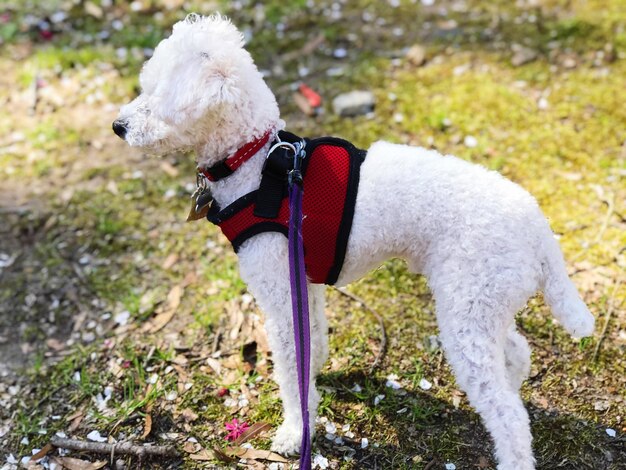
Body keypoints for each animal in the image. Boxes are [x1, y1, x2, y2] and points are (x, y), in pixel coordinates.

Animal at [113, 12, 596, 468]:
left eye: (156, 98)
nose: (118, 126)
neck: (258, 164)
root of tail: (540, 229)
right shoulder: (302, 283)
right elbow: (312, 344)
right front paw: (316, 382)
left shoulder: (279, 292)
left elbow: (290, 367)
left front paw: (295, 431)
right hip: (483, 302)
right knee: (516, 352)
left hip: (467, 312)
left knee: (509, 416)